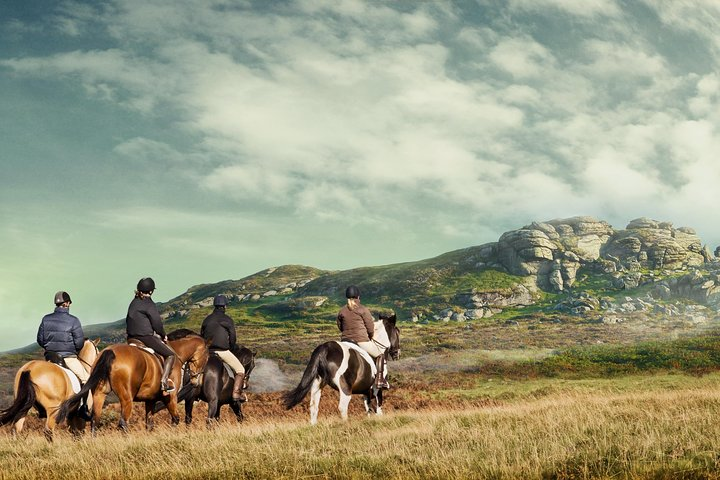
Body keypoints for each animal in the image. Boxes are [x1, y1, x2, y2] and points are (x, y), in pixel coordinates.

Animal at [58, 332, 208, 434]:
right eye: (207, 357)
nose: (195, 381)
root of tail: (110, 351)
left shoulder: (150, 400)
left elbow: (149, 424)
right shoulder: (170, 397)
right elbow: (175, 419)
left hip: (100, 394)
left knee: (95, 421)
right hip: (127, 398)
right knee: (123, 423)